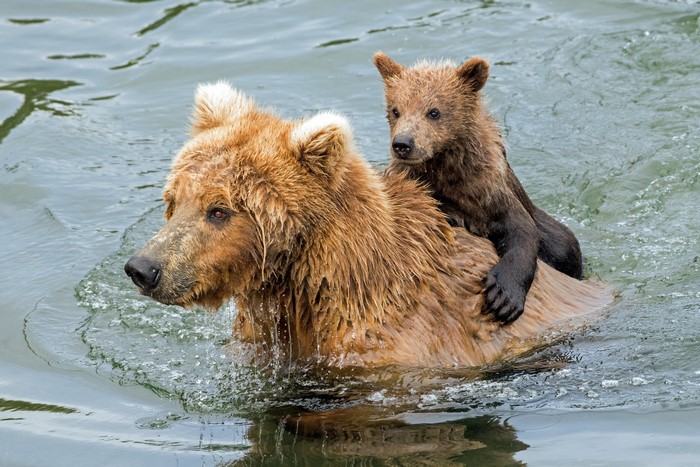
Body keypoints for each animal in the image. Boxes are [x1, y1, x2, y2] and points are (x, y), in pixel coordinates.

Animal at [373, 52, 583, 325]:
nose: (403, 143)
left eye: (434, 111)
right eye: (396, 110)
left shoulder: (489, 192)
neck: (445, 169)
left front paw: (503, 297)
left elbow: (522, 232)